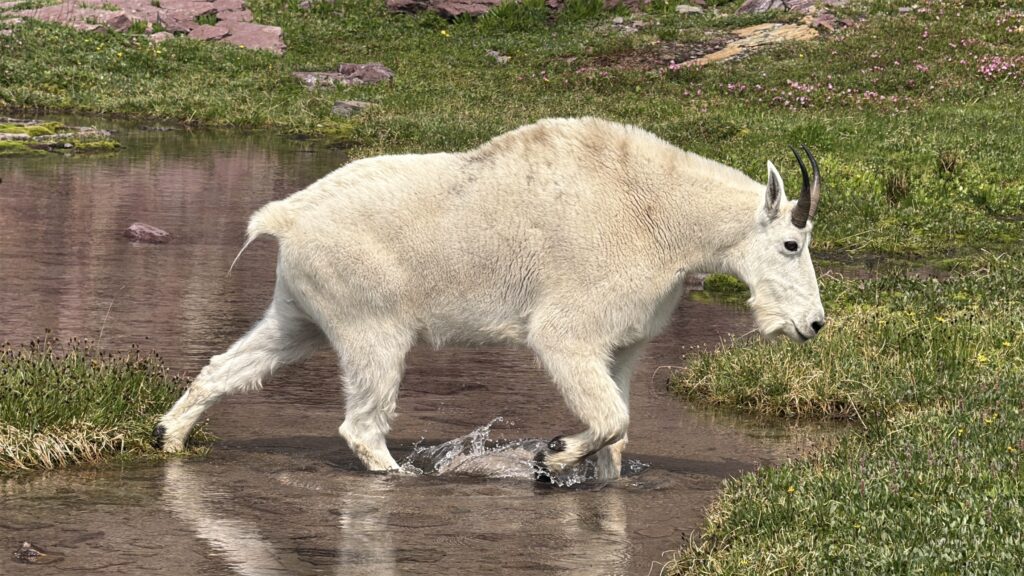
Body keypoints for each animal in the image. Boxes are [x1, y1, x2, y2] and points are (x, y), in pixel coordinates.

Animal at [154, 117, 825, 482]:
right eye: (792, 243)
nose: (814, 324)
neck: (661, 217)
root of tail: (286, 218)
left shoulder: (625, 346)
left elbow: (619, 437)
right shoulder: (570, 332)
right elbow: (610, 417)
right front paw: (552, 456)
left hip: (301, 312)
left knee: (227, 366)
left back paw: (170, 435)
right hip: (370, 322)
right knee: (362, 424)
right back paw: (404, 475)